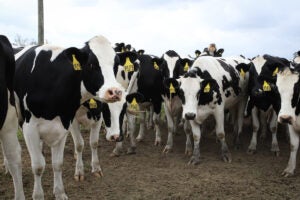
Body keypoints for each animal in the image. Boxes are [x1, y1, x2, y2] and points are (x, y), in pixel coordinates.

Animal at [13, 35, 124, 199]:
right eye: (91, 64)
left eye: (115, 65)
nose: (115, 92)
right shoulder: (30, 129)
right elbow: (38, 166)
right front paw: (38, 195)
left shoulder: (64, 124)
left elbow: (58, 163)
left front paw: (60, 193)